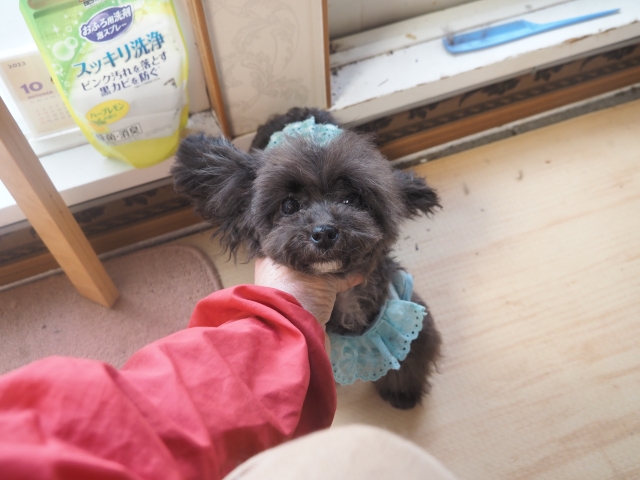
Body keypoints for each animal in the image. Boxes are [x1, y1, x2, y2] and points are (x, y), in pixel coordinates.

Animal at [171, 107, 441, 409]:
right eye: (289, 205)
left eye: (352, 199)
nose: (323, 233)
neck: (345, 300)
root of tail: (292, 112)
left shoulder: (405, 310)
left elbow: (412, 352)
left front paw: (402, 390)